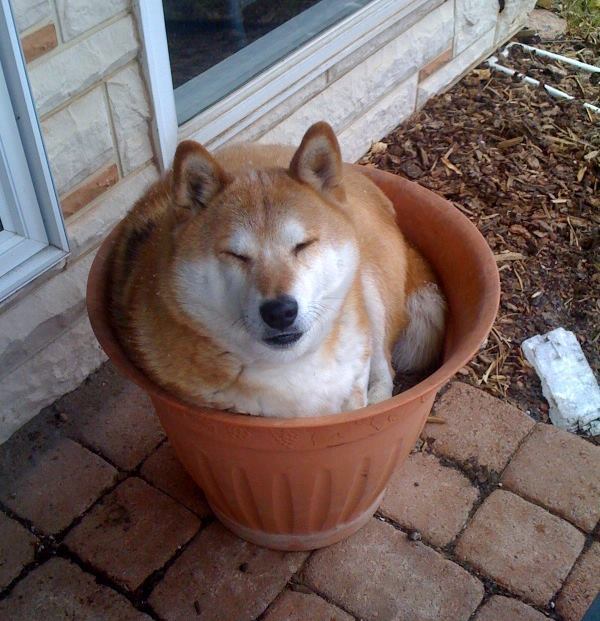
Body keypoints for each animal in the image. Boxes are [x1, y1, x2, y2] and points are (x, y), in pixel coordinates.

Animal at [110, 121, 446, 416]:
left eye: (303, 245)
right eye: (236, 255)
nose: (280, 311)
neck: (294, 365)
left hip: (372, 288)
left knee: (385, 367)